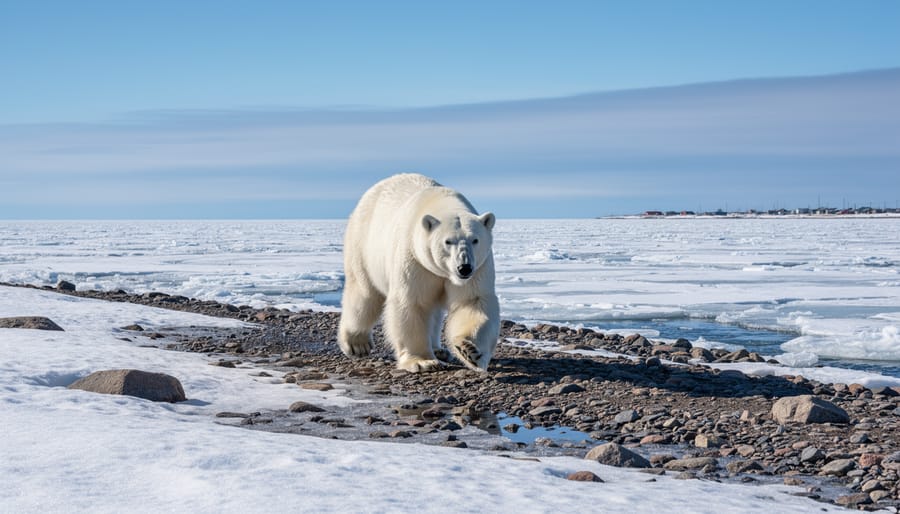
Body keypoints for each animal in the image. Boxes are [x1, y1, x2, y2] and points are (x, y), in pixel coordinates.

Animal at [338, 173, 500, 373]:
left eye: (475, 240)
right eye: (448, 241)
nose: (464, 267)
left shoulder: (478, 268)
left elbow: (473, 301)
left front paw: (470, 350)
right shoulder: (414, 258)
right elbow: (413, 303)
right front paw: (423, 361)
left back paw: (439, 350)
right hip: (363, 246)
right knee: (365, 295)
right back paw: (357, 344)